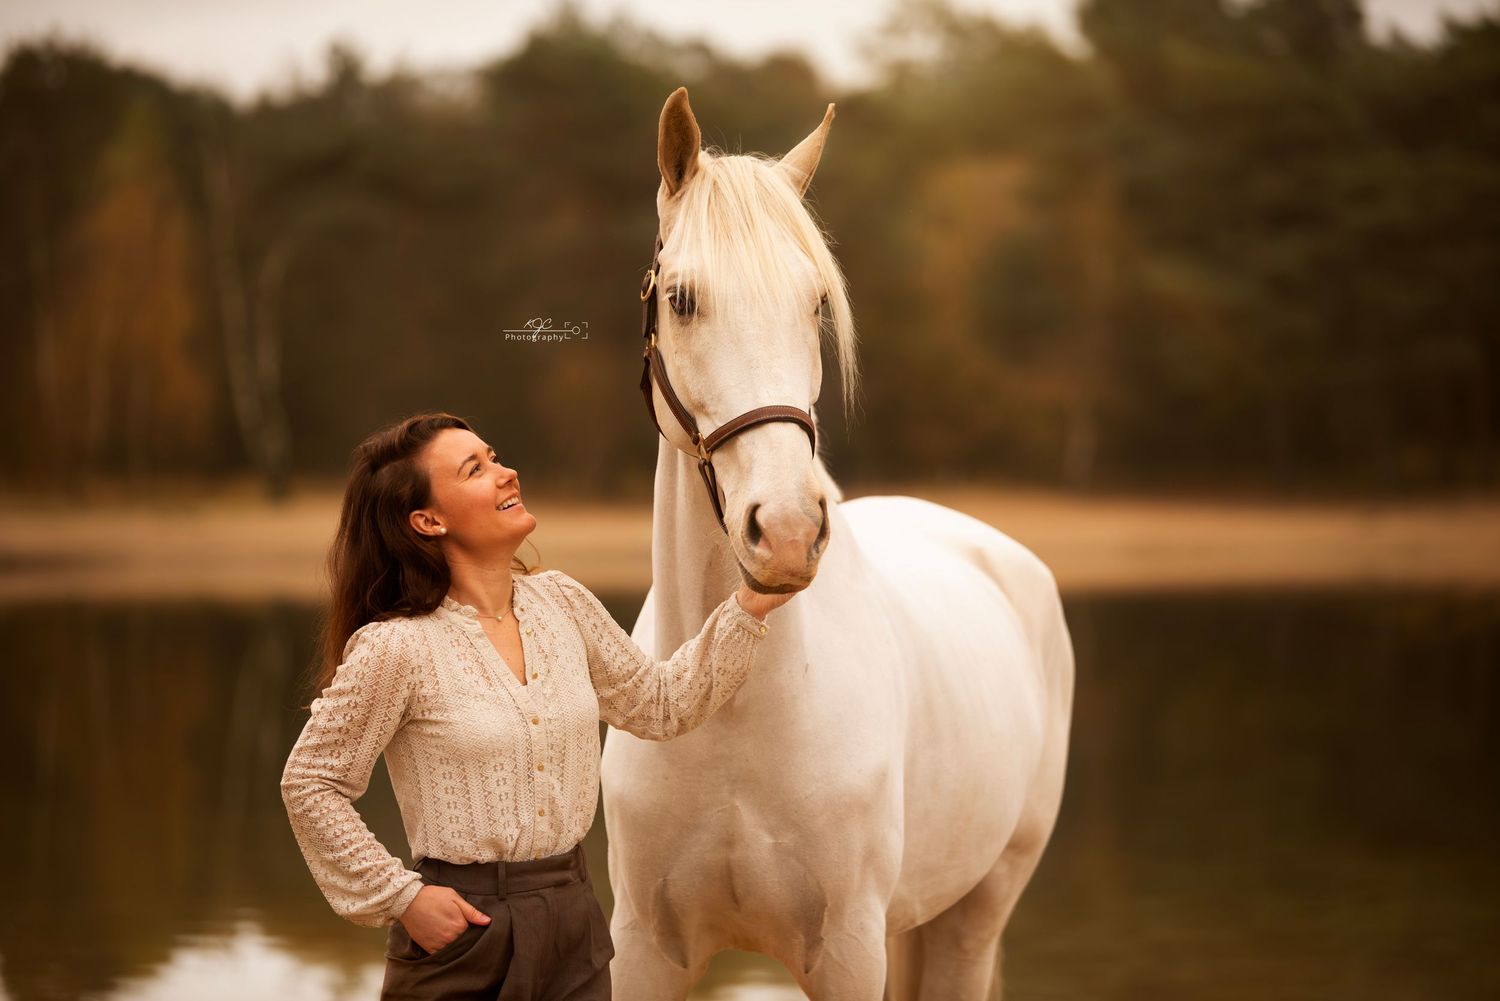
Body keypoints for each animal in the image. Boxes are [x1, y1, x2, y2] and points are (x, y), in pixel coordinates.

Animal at [598, 86, 1075, 1001]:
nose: (785, 530)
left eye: (815, 301)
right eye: (682, 298)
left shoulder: (850, 949)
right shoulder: (645, 950)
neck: (730, 712)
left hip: (978, 910)